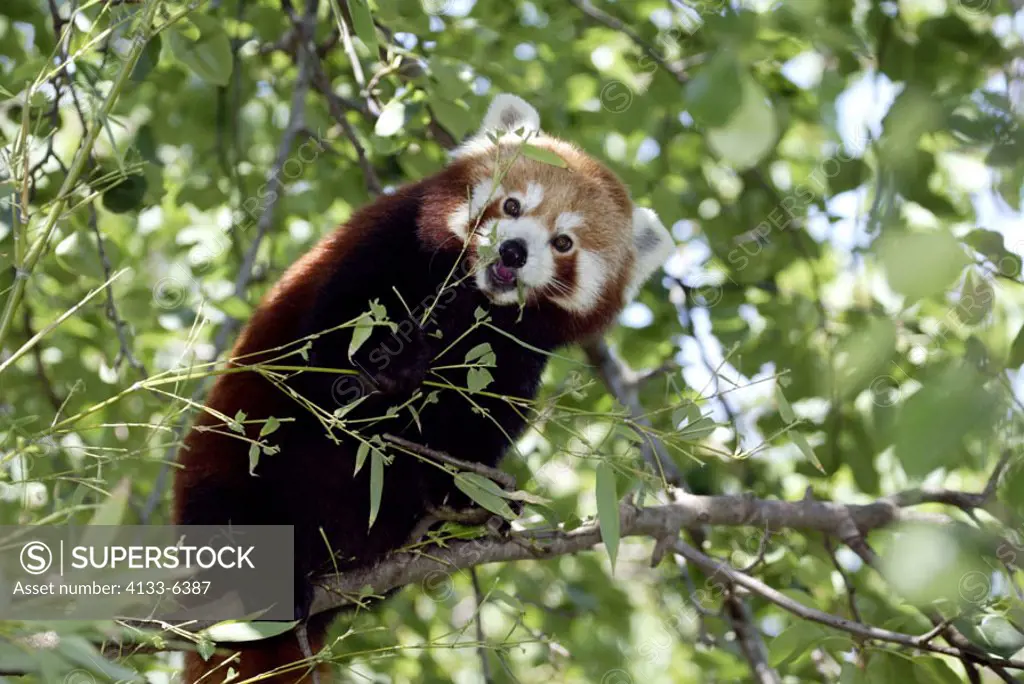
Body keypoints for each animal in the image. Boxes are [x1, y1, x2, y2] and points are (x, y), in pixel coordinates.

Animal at [172, 93, 675, 679]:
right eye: (512, 206)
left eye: (564, 242)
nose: (514, 252)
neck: (472, 302)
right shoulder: (385, 244)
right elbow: (333, 356)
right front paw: (383, 366)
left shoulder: (513, 354)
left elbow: (478, 423)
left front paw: (466, 488)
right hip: (232, 463)